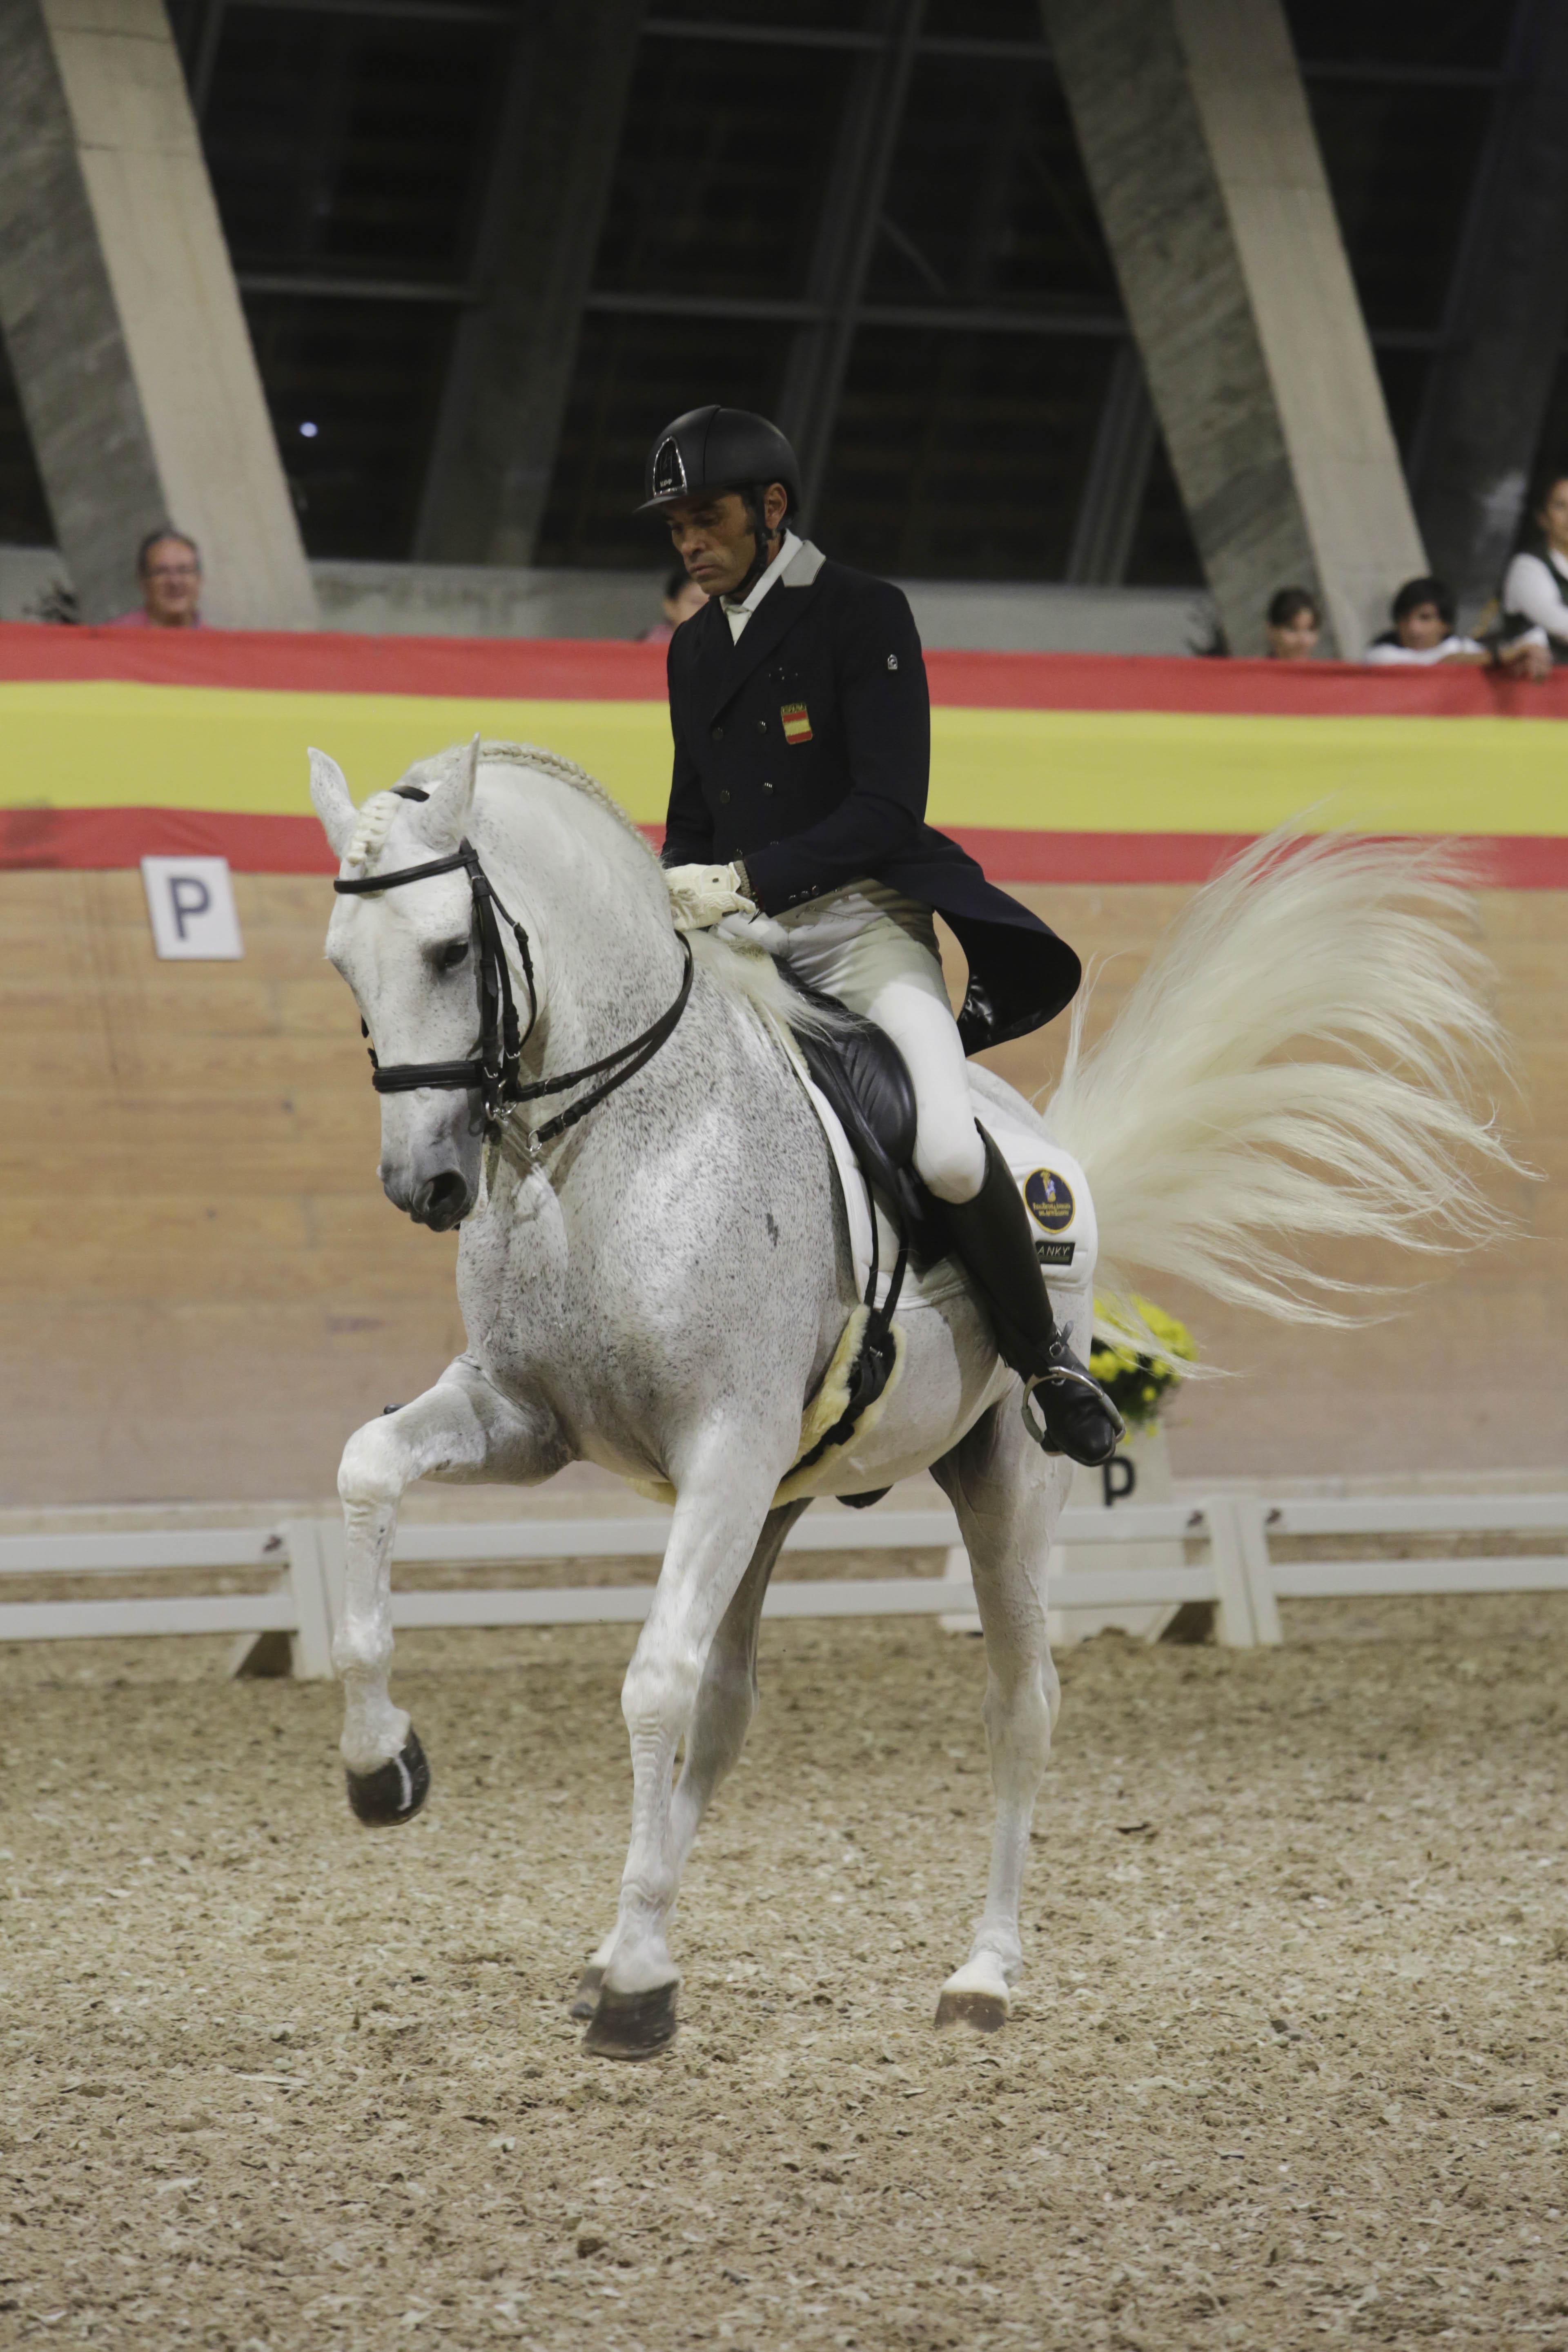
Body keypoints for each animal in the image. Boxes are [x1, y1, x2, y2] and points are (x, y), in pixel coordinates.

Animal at [310, 734, 1523, 2060]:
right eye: (344, 963)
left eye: (449, 950)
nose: (424, 1184)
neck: (611, 1151)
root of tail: (1034, 1134)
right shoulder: (531, 1421)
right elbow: (365, 1470)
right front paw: (383, 1769)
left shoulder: (721, 1449)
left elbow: (650, 1681)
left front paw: (637, 1986)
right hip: (777, 1500)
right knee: (729, 1710)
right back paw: (622, 1935)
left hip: (999, 1482)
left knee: (1018, 1703)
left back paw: (979, 1972)